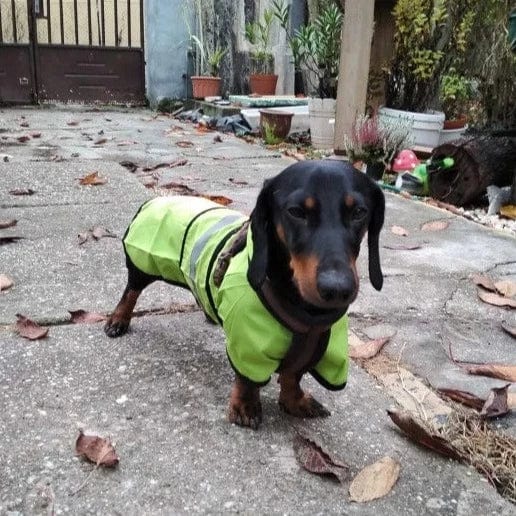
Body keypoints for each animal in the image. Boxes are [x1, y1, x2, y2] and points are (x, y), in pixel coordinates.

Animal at [105, 159, 382, 430]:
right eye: (296, 211)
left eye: (359, 212)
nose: (337, 289)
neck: (305, 312)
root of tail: (155, 201)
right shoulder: (248, 344)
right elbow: (248, 379)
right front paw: (245, 406)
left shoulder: (322, 346)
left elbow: (293, 375)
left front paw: (295, 401)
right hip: (143, 264)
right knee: (130, 291)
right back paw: (118, 319)